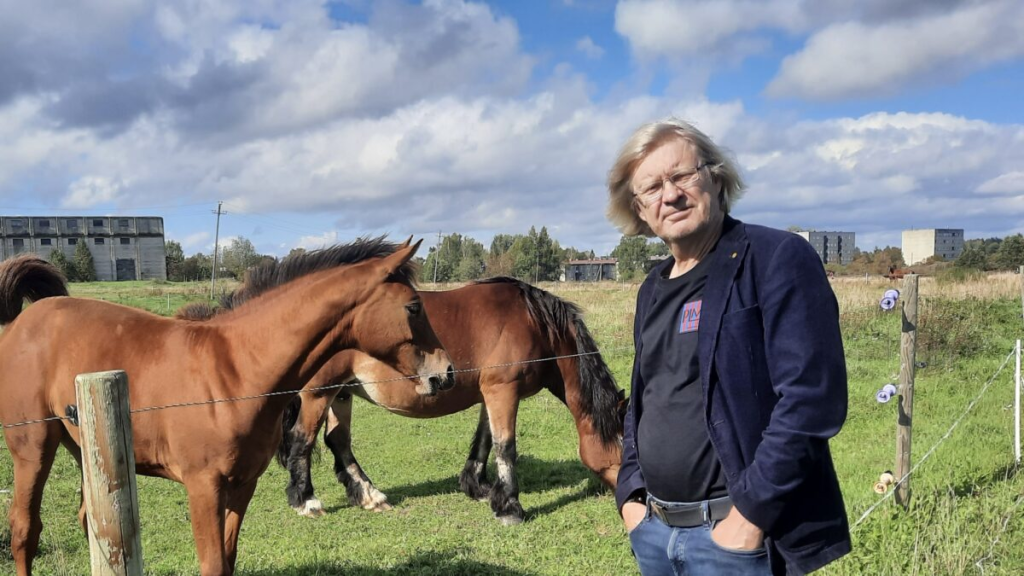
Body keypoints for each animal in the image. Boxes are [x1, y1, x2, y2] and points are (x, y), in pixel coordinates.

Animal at [0, 237, 452, 573]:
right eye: (414, 307)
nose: (444, 373)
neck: (235, 372)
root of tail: (17, 324)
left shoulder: (242, 484)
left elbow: (229, 559)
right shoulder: (203, 487)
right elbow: (213, 563)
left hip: (84, 451)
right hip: (33, 448)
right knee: (25, 530)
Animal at [180, 243, 622, 522]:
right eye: (622, 447)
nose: (627, 497)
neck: (534, 322)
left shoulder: (490, 393)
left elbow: (482, 442)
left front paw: (479, 489)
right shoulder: (503, 391)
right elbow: (505, 446)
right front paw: (510, 506)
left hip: (341, 394)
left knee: (338, 442)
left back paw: (369, 495)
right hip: (318, 394)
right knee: (303, 441)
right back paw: (306, 501)